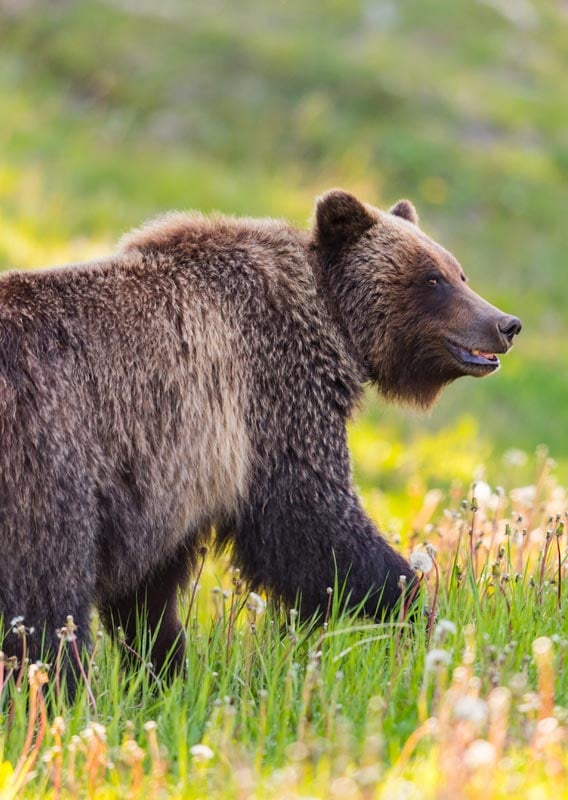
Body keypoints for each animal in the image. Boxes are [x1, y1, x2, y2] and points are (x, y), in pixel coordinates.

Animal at [0, 189, 520, 680]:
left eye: (459, 273)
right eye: (432, 278)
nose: (505, 323)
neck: (332, 323)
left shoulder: (167, 480)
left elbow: (150, 598)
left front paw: (163, 671)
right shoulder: (270, 403)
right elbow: (312, 523)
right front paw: (412, 604)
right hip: (49, 466)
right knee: (46, 598)